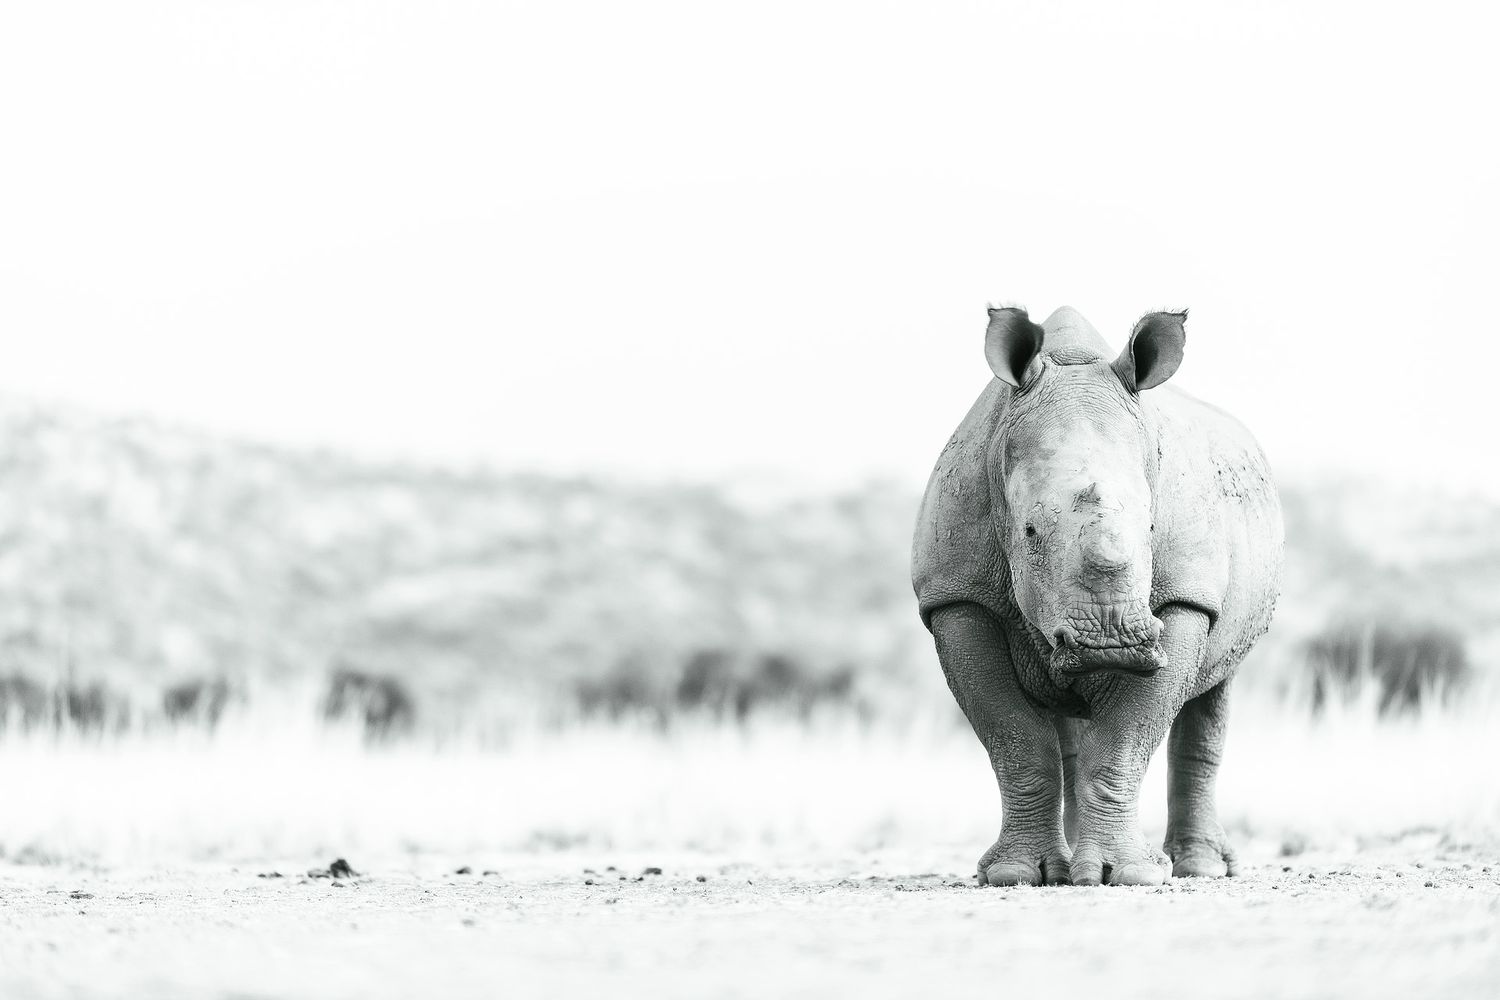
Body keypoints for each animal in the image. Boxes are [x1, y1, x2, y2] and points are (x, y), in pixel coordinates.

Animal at [912, 306, 1282, 886]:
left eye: (1152, 528)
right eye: (1029, 532)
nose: (1113, 641)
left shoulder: (1185, 599)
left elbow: (1125, 739)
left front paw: (1128, 875)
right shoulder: (957, 596)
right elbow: (1015, 739)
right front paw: (1015, 874)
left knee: (1214, 688)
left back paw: (1198, 869)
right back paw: (1065, 869)